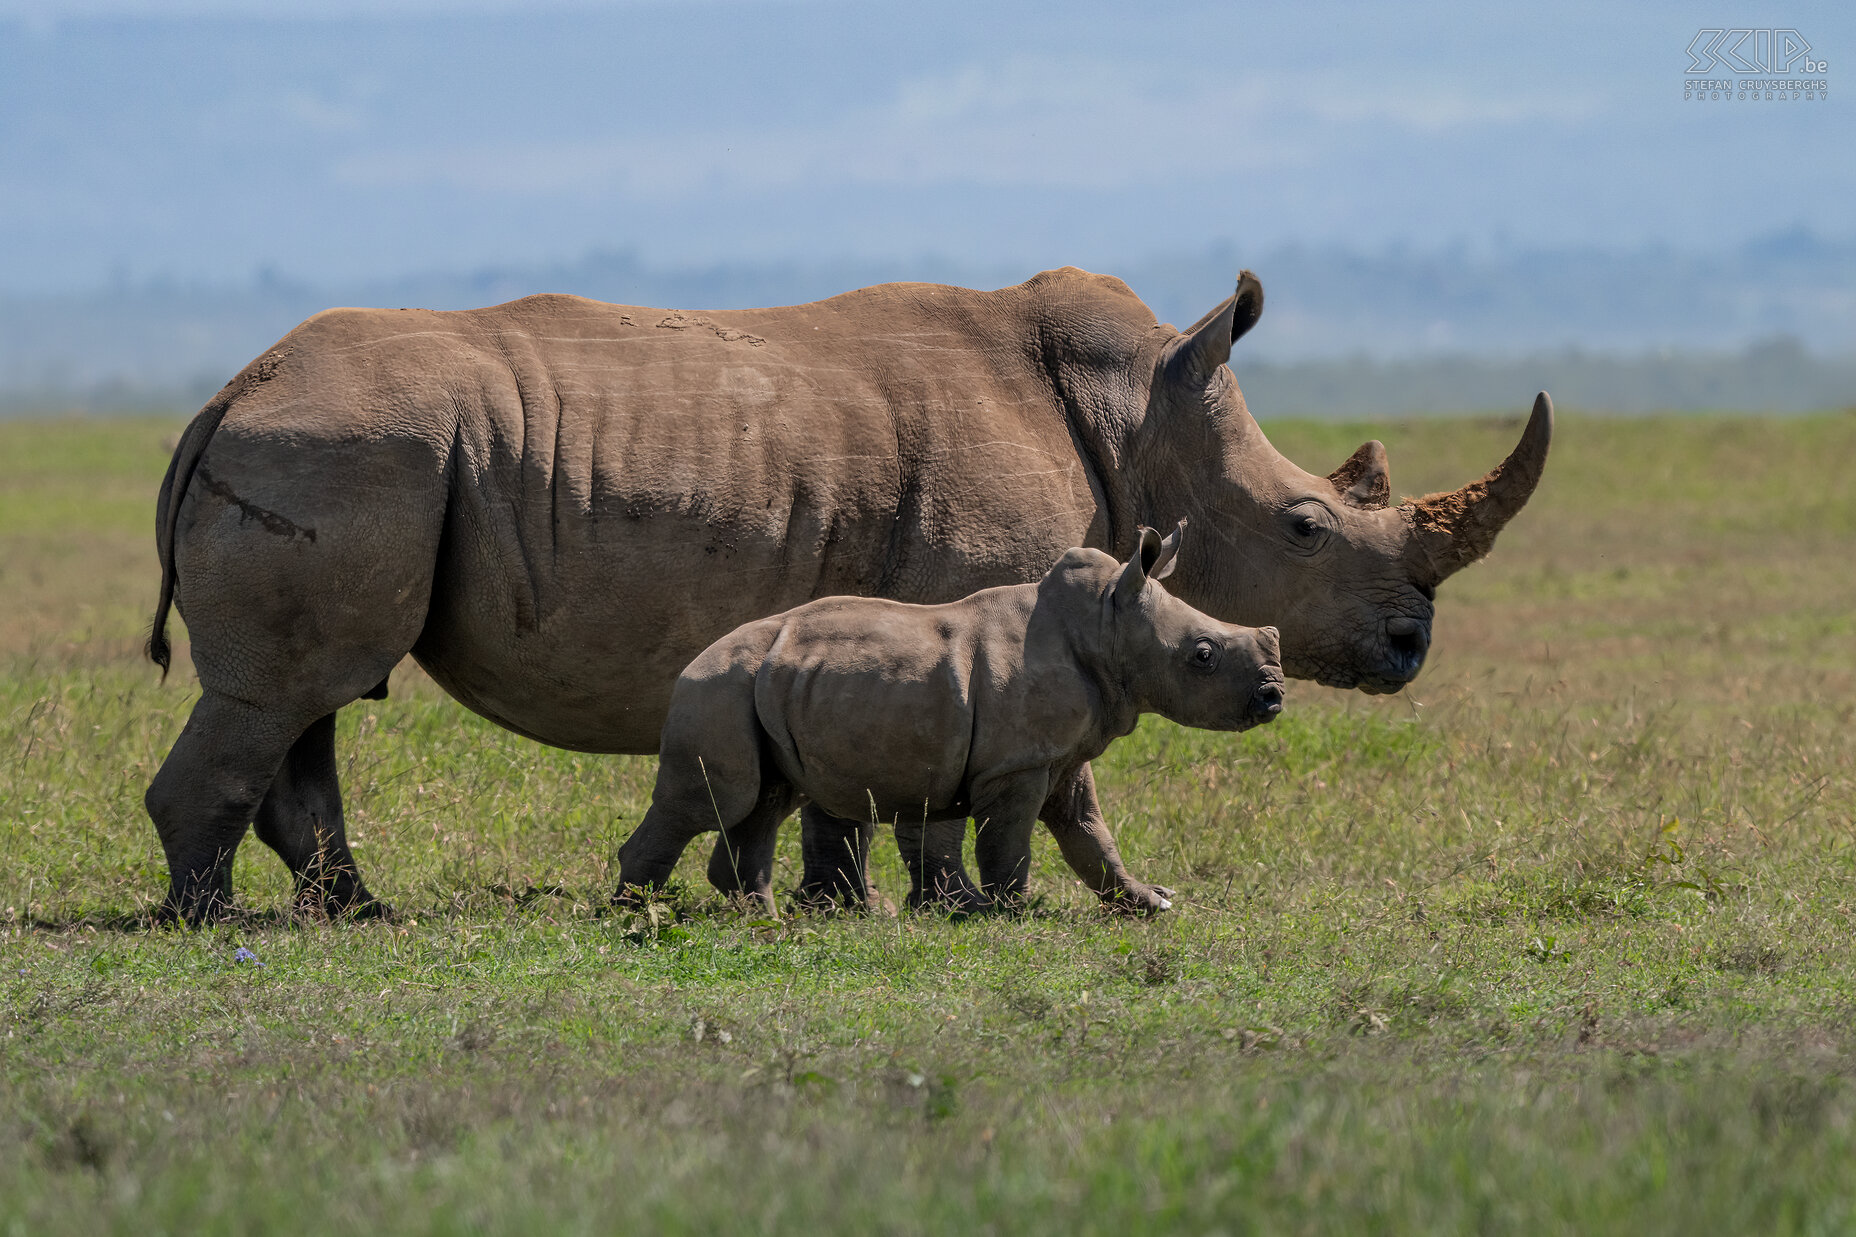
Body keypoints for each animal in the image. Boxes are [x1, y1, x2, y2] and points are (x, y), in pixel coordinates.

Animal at [616, 516, 1284, 910]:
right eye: (1203, 655)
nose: (1274, 697)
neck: (1107, 622)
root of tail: (693, 660)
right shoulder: (1016, 762)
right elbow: (1010, 837)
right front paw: (1013, 910)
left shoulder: (1059, 752)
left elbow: (1090, 831)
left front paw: (1152, 901)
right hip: (718, 687)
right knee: (717, 801)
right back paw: (635, 912)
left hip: (765, 688)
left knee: (769, 799)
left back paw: (763, 918)